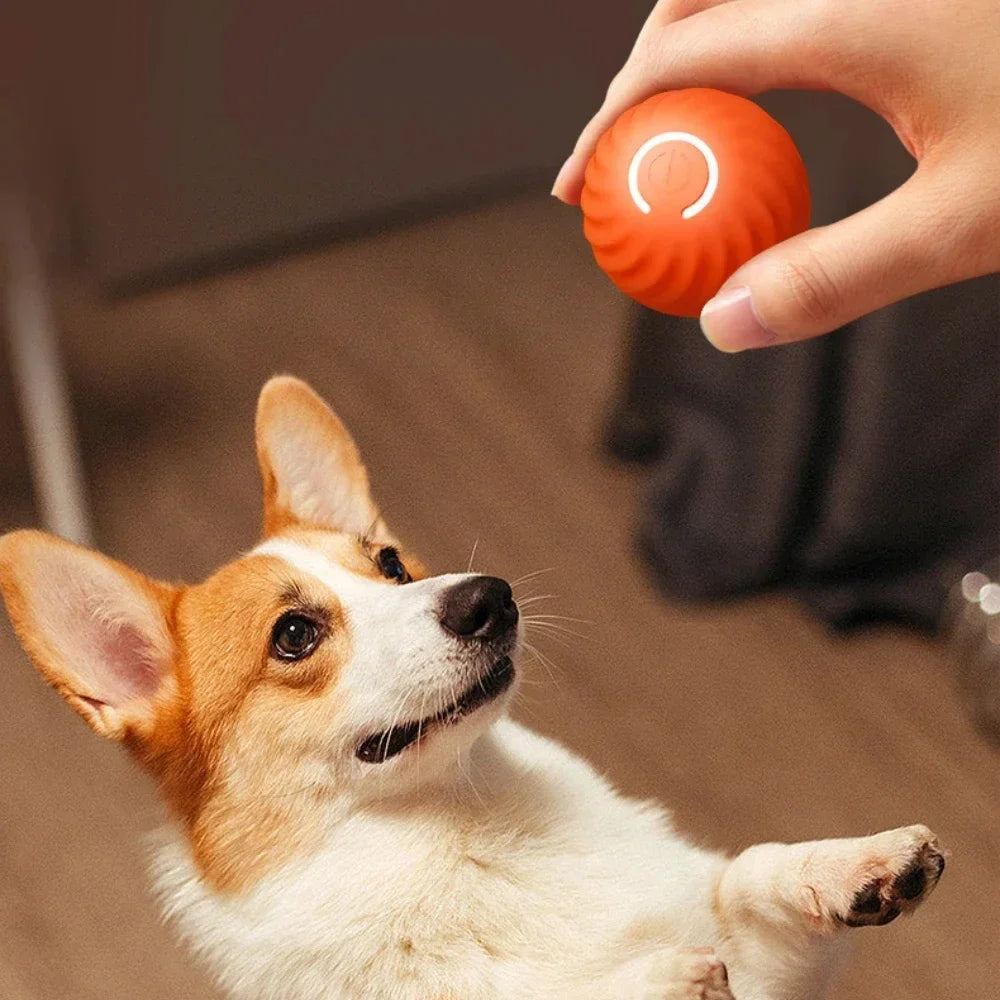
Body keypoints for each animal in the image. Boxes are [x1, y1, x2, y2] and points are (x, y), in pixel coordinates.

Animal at [0, 376, 944, 1000]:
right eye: (295, 635)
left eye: (389, 564)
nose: (491, 597)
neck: (466, 827)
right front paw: (656, 979)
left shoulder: (763, 963)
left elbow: (748, 873)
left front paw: (863, 863)